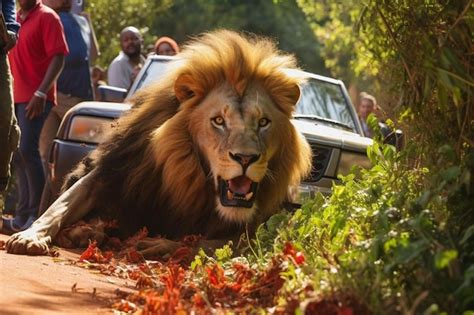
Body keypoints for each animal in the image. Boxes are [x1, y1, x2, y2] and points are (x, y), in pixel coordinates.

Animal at [6, 29, 314, 258]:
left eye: (263, 122)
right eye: (218, 121)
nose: (246, 158)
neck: (192, 178)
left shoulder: (252, 229)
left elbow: (207, 242)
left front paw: (158, 245)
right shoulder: (113, 170)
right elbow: (58, 207)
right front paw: (28, 236)